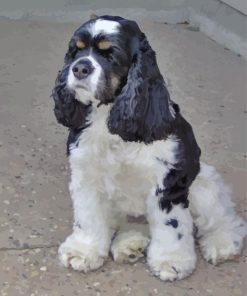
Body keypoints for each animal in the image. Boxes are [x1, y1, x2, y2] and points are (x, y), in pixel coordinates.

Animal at [51, 15, 246, 280]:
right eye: (76, 50)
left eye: (111, 55)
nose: (80, 68)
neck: (108, 116)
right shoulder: (85, 175)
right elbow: (88, 216)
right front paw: (83, 251)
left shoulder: (168, 183)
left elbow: (171, 226)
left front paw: (170, 261)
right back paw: (130, 246)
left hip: (203, 184)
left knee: (224, 219)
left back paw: (222, 243)